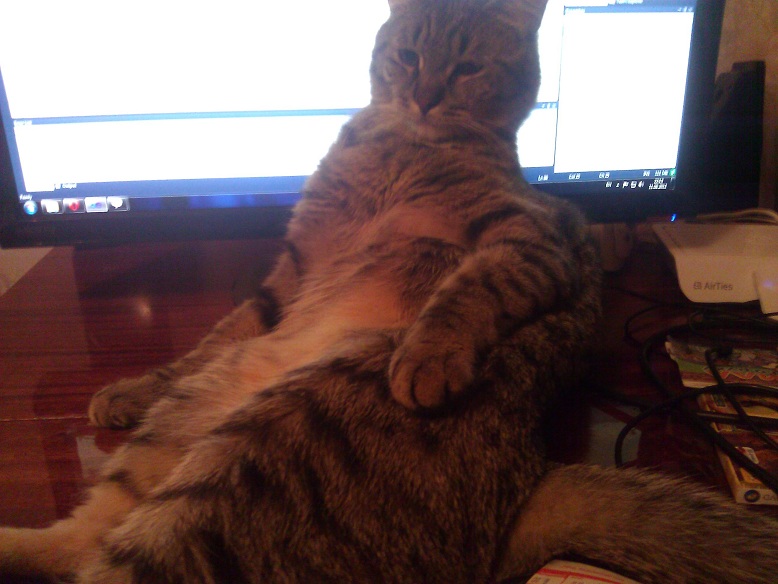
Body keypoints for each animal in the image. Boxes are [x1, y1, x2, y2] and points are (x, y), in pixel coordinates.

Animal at [2, 0, 778, 582]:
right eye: (407, 56)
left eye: (466, 67)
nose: (424, 96)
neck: (398, 147)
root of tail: (524, 491)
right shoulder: (293, 269)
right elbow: (212, 335)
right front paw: (132, 387)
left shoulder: (531, 238)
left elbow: (466, 292)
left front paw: (428, 356)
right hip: (183, 431)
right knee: (78, 542)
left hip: (254, 457)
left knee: (96, 558)